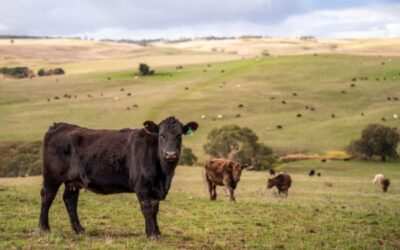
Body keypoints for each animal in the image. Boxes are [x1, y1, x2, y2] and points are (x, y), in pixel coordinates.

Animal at [39, 116, 198, 238]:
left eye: (179, 135)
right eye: (161, 135)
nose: (170, 154)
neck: (164, 176)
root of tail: (59, 125)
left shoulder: (155, 189)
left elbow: (155, 209)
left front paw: (157, 232)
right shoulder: (142, 186)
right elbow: (148, 209)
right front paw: (151, 235)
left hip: (72, 181)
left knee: (70, 200)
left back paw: (80, 230)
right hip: (52, 176)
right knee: (47, 196)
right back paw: (44, 228)